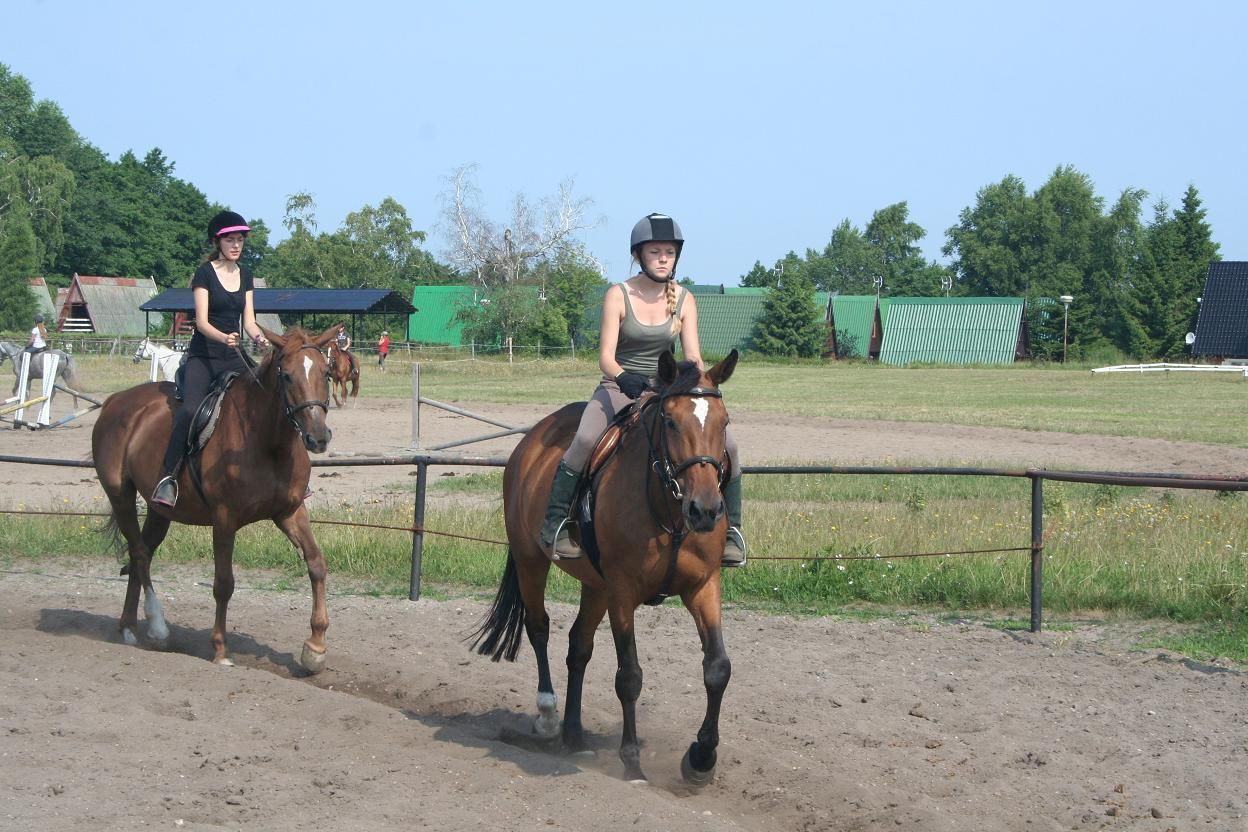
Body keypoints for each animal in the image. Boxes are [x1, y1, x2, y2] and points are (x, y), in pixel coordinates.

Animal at [91, 324, 339, 673]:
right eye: (287, 376)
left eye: (326, 373)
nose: (317, 438)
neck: (268, 441)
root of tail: (116, 400)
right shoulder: (224, 518)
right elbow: (224, 583)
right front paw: (220, 648)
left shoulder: (290, 511)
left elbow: (316, 564)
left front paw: (315, 648)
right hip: (120, 495)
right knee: (139, 552)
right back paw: (156, 626)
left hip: (159, 510)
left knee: (143, 553)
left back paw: (129, 627)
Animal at [472, 349, 738, 785]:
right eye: (670, 421)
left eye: (724, 422)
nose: (705, 510)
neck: (669, 512)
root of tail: (529, 442)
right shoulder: (623, 592)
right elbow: (629, 676)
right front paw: (631, 762)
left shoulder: (703, 585)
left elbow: (717, 668)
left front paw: (701, 759)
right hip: (532, 561)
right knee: (538, 627)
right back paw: (549, 716)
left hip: (595, 586)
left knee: (578, 646)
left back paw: (574, 734)